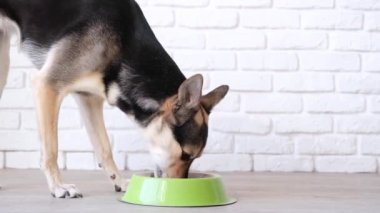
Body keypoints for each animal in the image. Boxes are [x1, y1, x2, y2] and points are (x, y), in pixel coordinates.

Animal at [0, 0, 229, 198]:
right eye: (185, 154)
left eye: (194, 158)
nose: (178, 190)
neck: (123, 43)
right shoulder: (48, 86)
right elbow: (51, 149)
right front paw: (58, 187)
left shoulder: (88, 98)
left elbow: (104, 147)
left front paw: (118, 181)